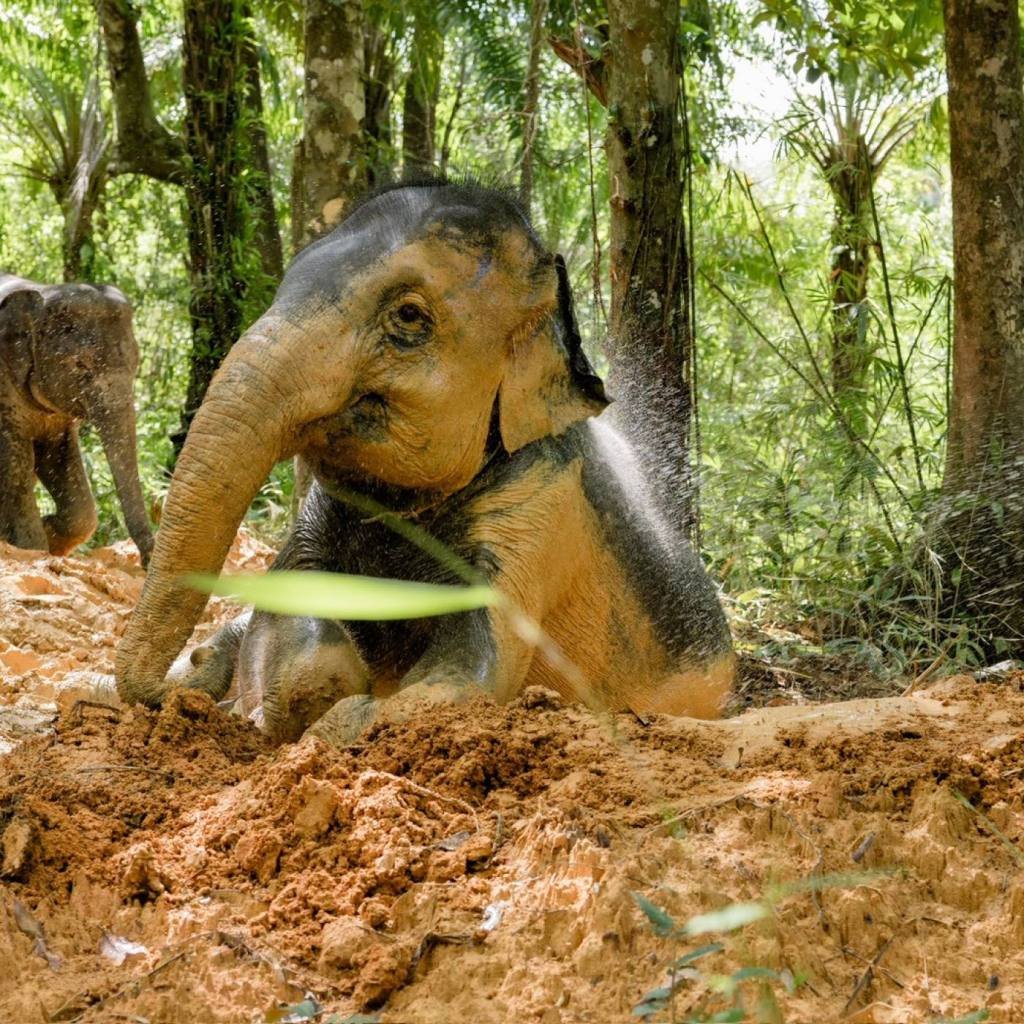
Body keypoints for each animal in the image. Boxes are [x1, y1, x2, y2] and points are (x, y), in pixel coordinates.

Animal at [0, 274, 153, 565]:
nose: (146, 562)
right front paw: (34, 549)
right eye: (81, 365)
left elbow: (60, 458)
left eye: (135, 362)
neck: (38, 292)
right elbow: (17, 467)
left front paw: (50, 534)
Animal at [115, 179, 734, 744]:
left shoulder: (542, 507)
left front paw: (333, 719)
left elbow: (466, 677)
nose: (173, 684)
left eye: (410, 316)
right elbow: (289, 611)